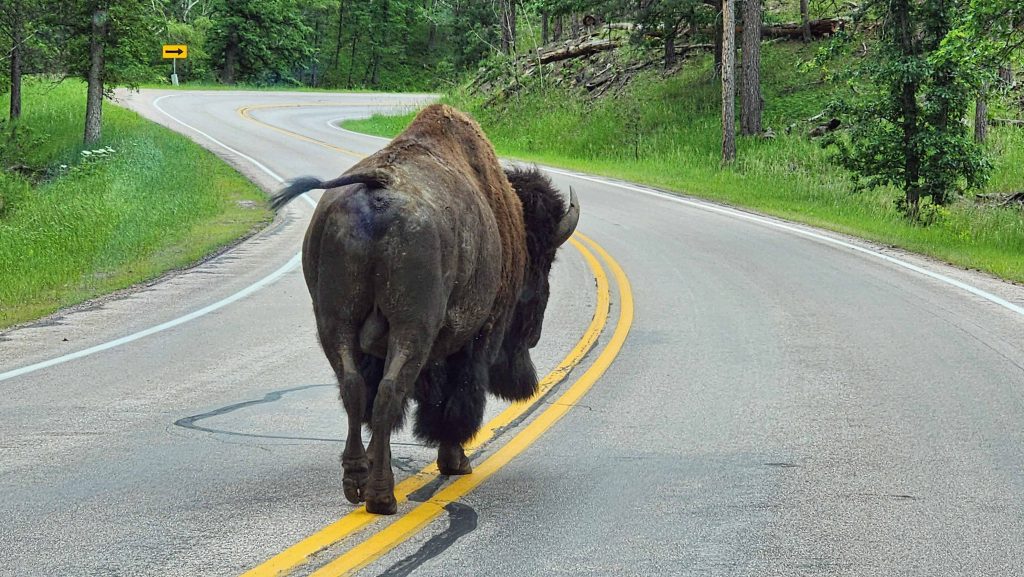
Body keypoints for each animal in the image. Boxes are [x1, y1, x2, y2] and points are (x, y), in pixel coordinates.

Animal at [270, 105, 577, 514]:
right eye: (543, 262)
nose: (534, 335)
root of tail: (378, 189)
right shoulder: (479, 335)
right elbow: (456, 399)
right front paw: (456, 461)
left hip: (335, 323)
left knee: (356, 390)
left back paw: (357, 480)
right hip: (412, 329)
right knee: (389, 392)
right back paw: (382, 496)